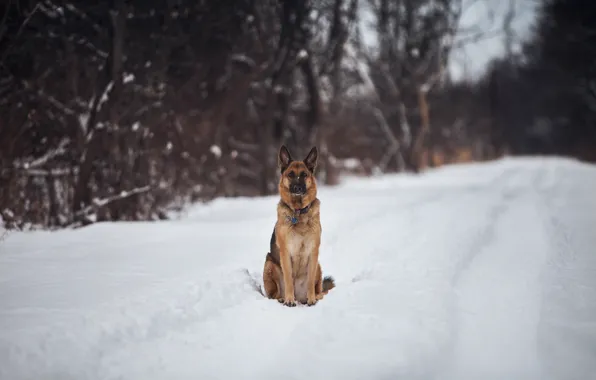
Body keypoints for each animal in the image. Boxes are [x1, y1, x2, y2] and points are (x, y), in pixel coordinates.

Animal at [262, 144, 336, 308]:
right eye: (290, 174)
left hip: (318, 266)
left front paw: (312, 299)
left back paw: (314, 297)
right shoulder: (285, 252)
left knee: (319, 290)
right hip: (269, 263)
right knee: (274, 295)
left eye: (304, 175)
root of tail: (299, 297)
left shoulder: (313, 252)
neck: (298, 212)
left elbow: (310, 281)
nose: (298, 188)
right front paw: (289, 300)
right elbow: (289, 278)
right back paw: (284, 298)